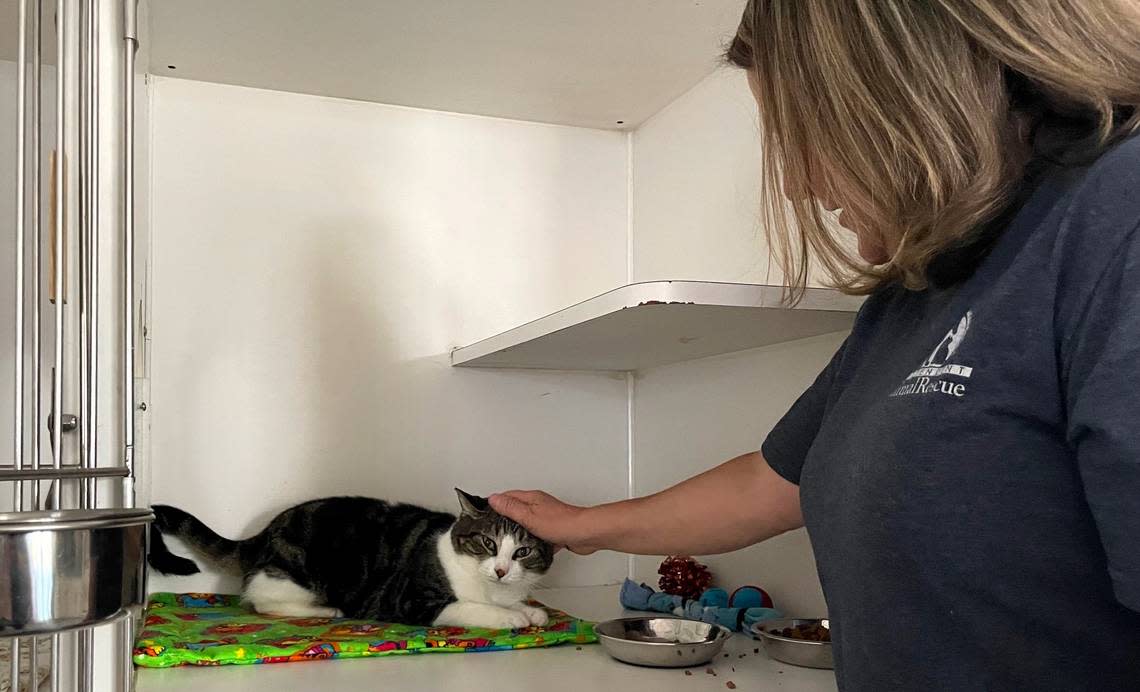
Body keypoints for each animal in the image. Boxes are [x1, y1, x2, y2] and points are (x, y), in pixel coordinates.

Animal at [147, 490, 556, 629]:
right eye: (487, 543)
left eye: (522, 552)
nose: (501, 570)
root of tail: (263, 534)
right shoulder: (412, 602)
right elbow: (470, 608)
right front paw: (511, 617)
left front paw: (529, 609)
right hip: (294, 579)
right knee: (260, 602)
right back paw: (327, 611)